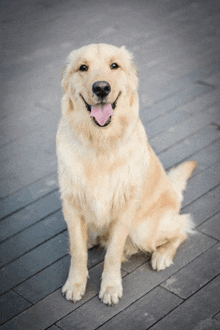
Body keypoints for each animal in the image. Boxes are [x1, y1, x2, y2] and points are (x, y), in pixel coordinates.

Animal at [55, 42, 197, 306]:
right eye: (83, 67)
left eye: (114, 65)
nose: (101, 87)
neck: (100, 146)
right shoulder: (72, 208)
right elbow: (77, 253)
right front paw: (76, 284)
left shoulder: (124, 211)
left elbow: (112, 254)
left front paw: (110, 287)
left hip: (143, 230)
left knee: (183, 226)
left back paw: (162, 255)